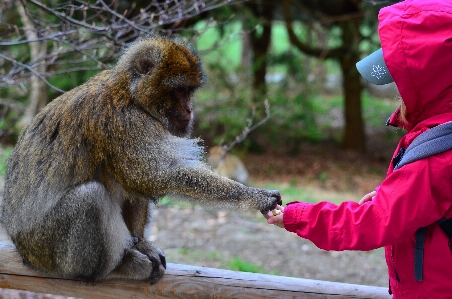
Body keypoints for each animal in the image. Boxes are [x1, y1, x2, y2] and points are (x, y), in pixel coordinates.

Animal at [1, 37, 280, 286]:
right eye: (180, 90)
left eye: (190, 91)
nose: (190, 110)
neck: (130, 94)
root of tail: (20, 245)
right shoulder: (122, 121)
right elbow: (152, 175)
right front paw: (254, 196)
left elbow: (142, 183)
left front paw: (142, 242)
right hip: (44, 247)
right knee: (90, 198)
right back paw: (111, 269)